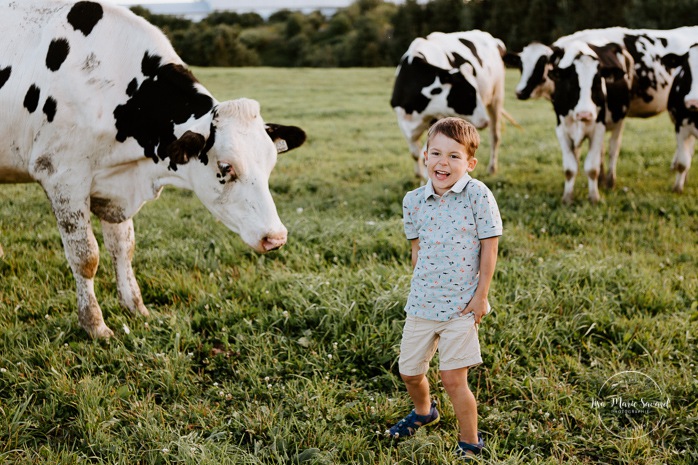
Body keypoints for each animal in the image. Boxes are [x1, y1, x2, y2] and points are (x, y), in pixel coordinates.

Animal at [0, 1, 304, 338]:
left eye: (270, 163)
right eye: (226, 167)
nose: (275, 237)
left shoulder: (112, 186)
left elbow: (123, 248)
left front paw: (135, 308)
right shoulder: (62, 176)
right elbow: (85, 257)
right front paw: (95, 325)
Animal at [388, 29, 502, 177]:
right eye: (469, 93)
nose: (485, 121)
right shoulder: (403, 123)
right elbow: (415, 155)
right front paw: (418, 175)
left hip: (496, 97)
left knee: (495, 136)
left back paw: (492, 168)